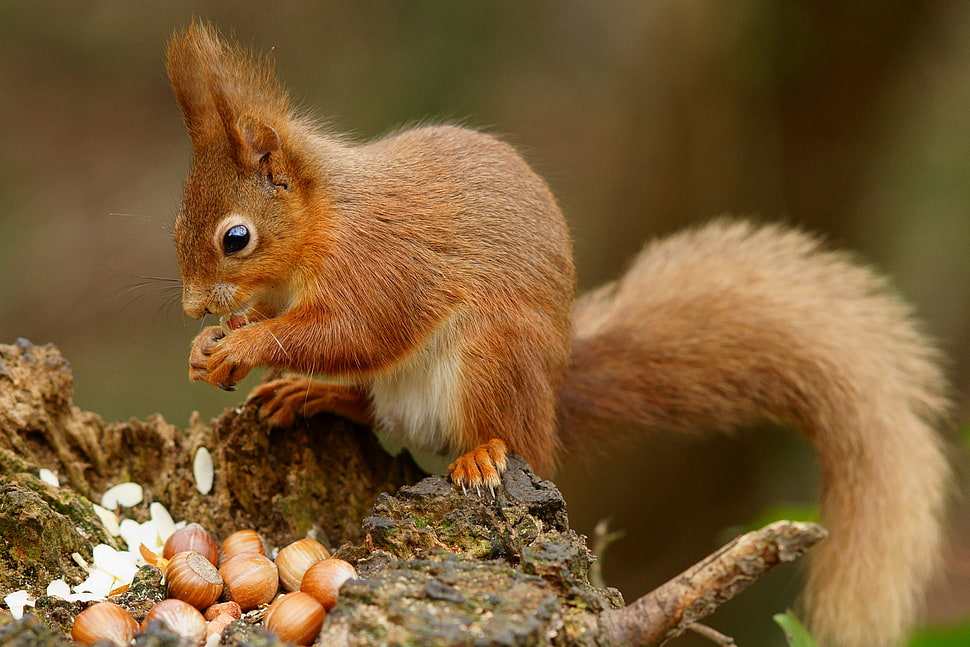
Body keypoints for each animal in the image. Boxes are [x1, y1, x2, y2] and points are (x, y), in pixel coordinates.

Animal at [168, 21, 952, 647]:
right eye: (177, 225)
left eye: (236, 238)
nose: (192, 308)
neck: (325, 221)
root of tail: (550, 401)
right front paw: (212, 352)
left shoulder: (384, 266)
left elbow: (356, 331)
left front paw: (243, 345)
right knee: (372, 405)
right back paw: (313, 395)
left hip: (494, 354)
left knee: (491, 427)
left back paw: (482, 452)